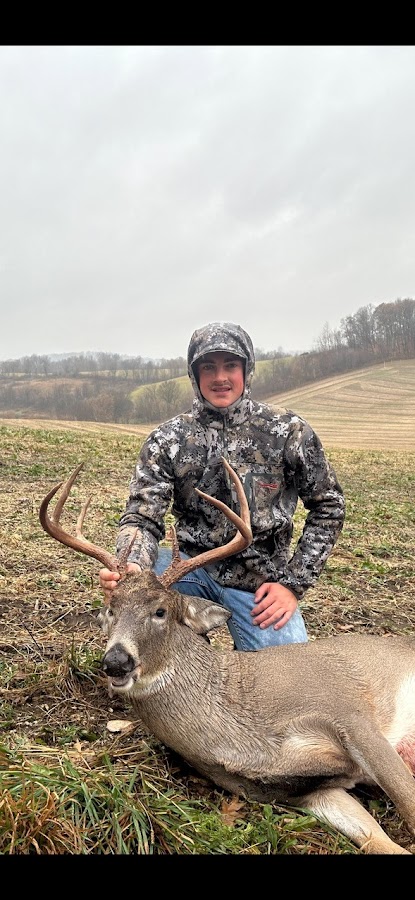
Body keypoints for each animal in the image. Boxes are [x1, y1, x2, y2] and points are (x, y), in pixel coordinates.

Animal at [39, 459, 415, 855]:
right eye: (110, 611)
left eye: (160, 611)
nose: (116, 662)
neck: (250, 738)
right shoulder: (307, 792)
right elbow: (380, 842)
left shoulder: (349, 713)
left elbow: (408, 805)